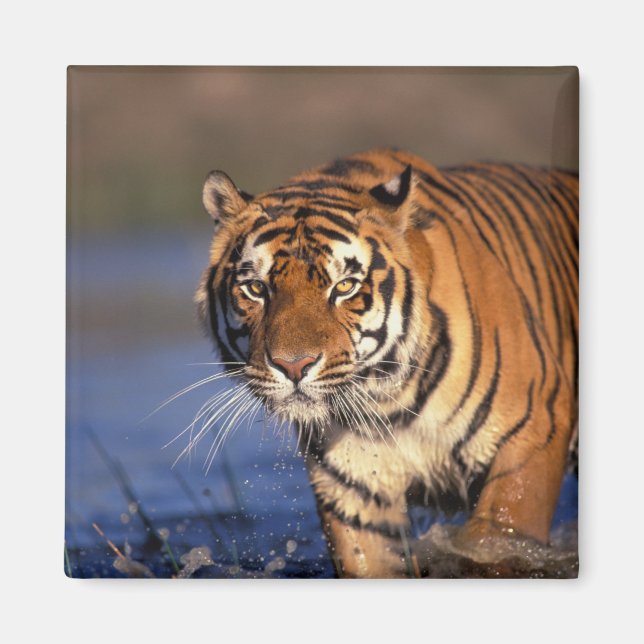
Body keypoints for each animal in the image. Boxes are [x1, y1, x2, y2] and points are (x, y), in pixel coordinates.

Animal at [195, 148, 578, 578]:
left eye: (344, 287)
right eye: (256, 289)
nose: (294, 366)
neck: (387, 403)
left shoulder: (533, 431)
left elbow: (495, 542)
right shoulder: (353, 485)